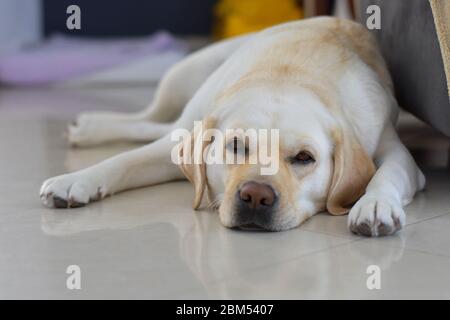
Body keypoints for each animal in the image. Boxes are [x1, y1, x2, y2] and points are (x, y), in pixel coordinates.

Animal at [38, 18, 426, 238]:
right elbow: (123, 161)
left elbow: (386, 173)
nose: (256, 196)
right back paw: (89, 126)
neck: (290, 73)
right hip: (184, 77)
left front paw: (374, 204)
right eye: (236, 145)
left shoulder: (393, 149)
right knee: (152, 120)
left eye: (304, 158)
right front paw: (76, 180)